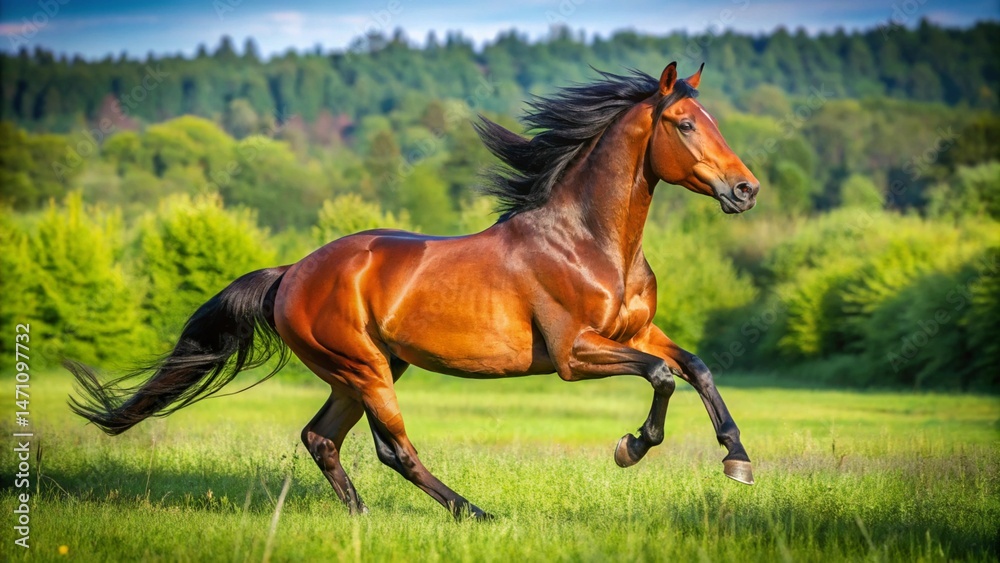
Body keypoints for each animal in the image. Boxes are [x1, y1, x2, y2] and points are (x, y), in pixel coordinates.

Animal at [68, 62, 761, 520]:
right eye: (684, 124)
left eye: (712, 119)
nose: (746, 189)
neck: (588, 241)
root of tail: (290, 273)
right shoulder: (573, 353)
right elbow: (661, 377)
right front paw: (630, 448)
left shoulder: (636, 331)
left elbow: (695, 367)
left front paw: (737, 459)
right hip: (364, 369)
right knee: (393, 448)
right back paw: (474, 514)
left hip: (365, 371)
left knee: (322, 438)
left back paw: (363, 519)